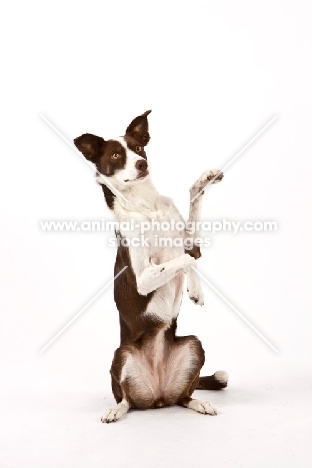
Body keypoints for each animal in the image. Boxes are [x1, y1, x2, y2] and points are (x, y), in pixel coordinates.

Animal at [74, 110, 228, 424]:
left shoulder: (186, 234)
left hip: (193, 344)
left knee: (184, 397)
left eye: (139, 148)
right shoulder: (143, 278)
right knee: (126, 398)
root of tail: (157, 397)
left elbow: (192, 222)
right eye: (117, 154)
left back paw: (199, 403)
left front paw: (204, 180)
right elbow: (185, 258)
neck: (145, 205)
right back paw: (116, 410)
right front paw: (193, 279)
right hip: (121, 355)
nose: (142, 163)